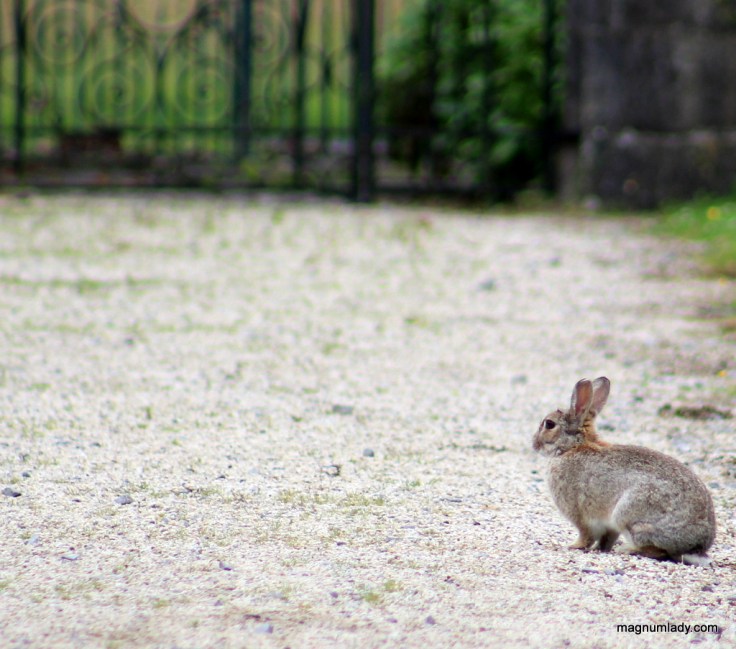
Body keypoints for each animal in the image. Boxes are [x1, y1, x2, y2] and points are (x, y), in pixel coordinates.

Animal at [533, 377, 716, 566]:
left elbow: (586, 535)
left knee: (656, 550)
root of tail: (695, 547)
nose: (534, 444)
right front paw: (600, 549)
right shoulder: (607, 525)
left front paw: (574, 546)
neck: (573, 446)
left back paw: (627, 549)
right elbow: (606, 538)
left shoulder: (579, 514)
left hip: (628, 515)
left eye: (549, 424)